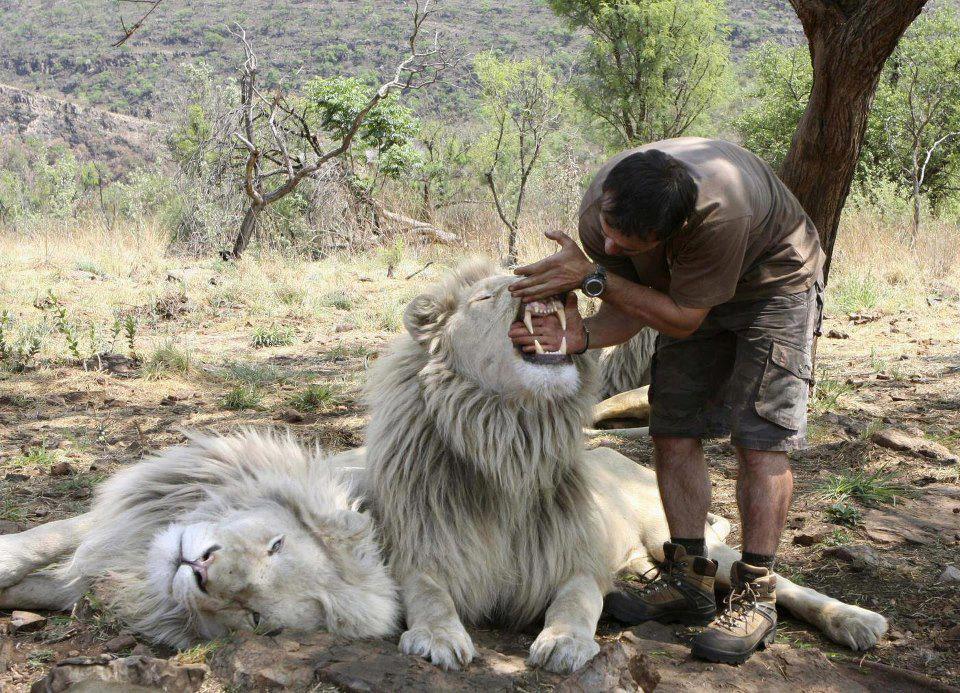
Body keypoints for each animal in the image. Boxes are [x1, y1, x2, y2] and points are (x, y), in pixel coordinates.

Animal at [0, 431, 399, 648]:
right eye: (276, 545)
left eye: (253, 615)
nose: (200, 569)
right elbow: (59, 532)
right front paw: (8, 558)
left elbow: (47, 589)